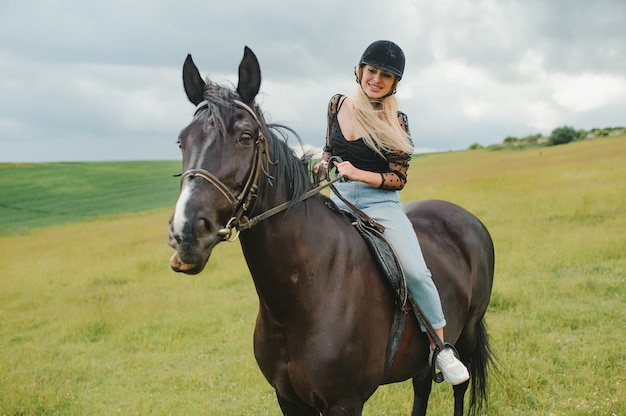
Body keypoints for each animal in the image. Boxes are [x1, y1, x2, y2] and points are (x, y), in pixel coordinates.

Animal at [166, 46, 492, 416]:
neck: (305, 292)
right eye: (182, 141)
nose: (186, 234)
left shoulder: (344, 402)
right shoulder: (288, 398)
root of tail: (463, 216)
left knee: (460, 384)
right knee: (422, 384)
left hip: (466, 331)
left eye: (245, 137)